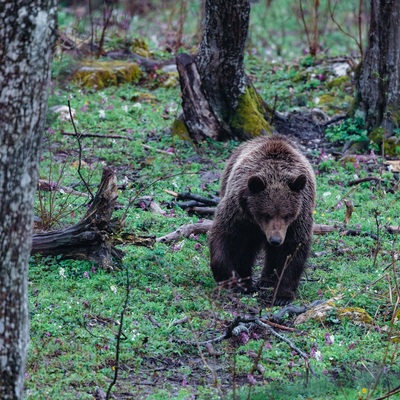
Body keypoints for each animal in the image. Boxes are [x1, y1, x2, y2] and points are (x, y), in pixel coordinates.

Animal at [209, 136, 316, 304]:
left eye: (287, 214)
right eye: (266, 214)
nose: (275, 240)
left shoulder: (297, 220)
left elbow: (293, 250)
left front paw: (282, 295)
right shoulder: (239, 213)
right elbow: (224, 235)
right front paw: (233, 281)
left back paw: (266, 280)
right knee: (246, 249)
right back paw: (247, 280)